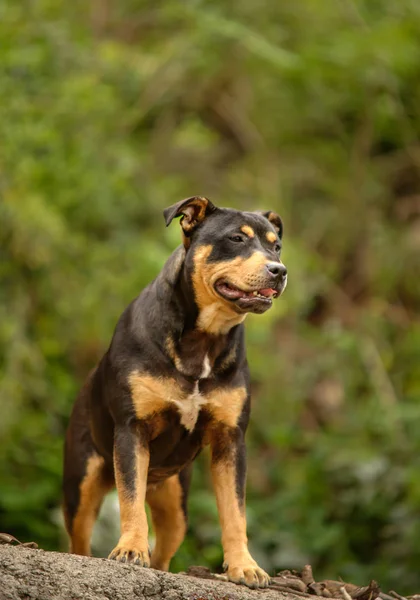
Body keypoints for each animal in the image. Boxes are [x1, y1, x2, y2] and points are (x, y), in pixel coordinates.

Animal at [64, 195, 288, 588]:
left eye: (276, 246)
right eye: (236, 239)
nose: (279, 270)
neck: (204, 338)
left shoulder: (231, 439)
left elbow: (235, 511)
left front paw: (244, 566)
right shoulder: (132, 430)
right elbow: (131, 498)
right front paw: (130, 550)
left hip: (175, 503)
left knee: (165, 549)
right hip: (82, 482)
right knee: (80, 538)